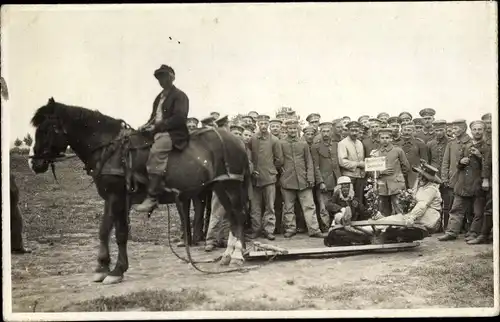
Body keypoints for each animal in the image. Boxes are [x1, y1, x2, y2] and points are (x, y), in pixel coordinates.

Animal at [29, 97, 252, 284]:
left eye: (47, 129)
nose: (34, 163)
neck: (110, 150)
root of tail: (237, 140)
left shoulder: (117, 197)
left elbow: (114, 231)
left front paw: (115, 270)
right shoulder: (112, 198)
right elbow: (109, 231)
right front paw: (105, 268)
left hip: (231, 186)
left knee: (239, 216)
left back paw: (237, 256)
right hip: (219, 187)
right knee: (232, 217)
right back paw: (227, 256)